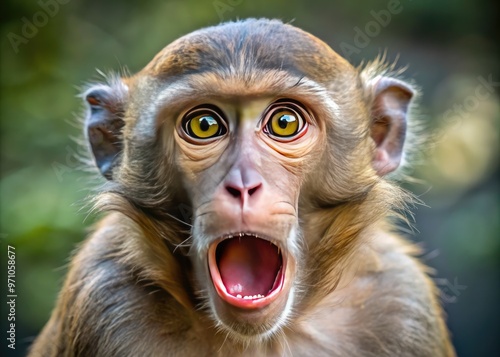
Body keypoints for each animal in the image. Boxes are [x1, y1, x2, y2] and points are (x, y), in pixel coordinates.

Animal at [29, 19, 456, 356]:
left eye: (284, 122)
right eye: (204, 125)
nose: (243, 186)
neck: (261, 340)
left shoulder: (403, 305)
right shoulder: (103, 301)